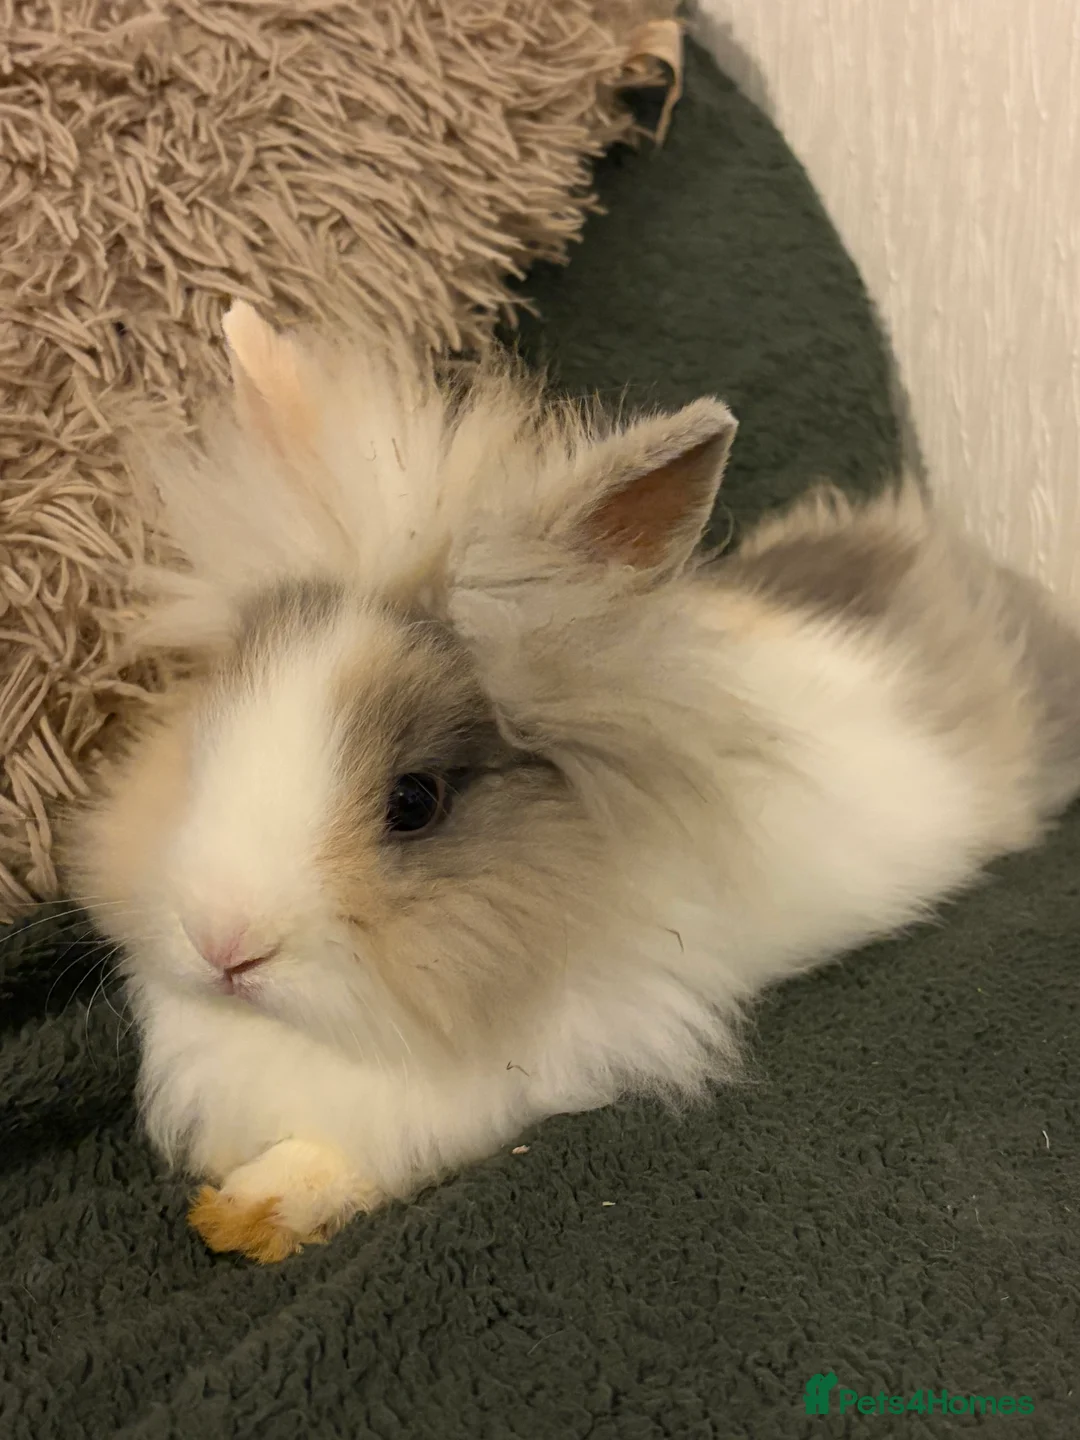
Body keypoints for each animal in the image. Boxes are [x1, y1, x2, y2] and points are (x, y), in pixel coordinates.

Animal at [66, 300, 1080, 1263]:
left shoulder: (531, 1073)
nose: (224, 944)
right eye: (208, 738)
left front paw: (255, 1208)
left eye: (414, 803)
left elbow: (372, 1148)